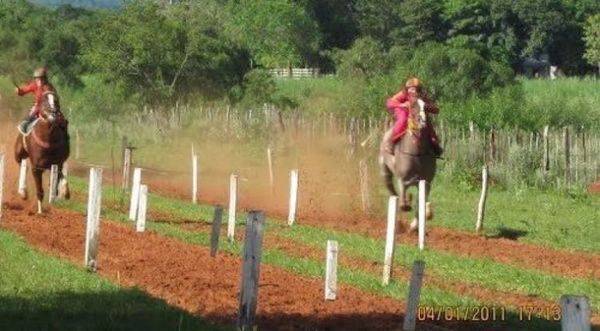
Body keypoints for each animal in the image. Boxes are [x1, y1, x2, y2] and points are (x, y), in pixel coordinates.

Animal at [380, 101, 436, 231]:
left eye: (426, 107)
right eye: (413, 106)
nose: (423, 121)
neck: (417, 153)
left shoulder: (426, 182)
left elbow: (420, 203)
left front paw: (415, 224)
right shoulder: (403, 180)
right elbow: (403, 203)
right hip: (385, 171)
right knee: (392, 191)